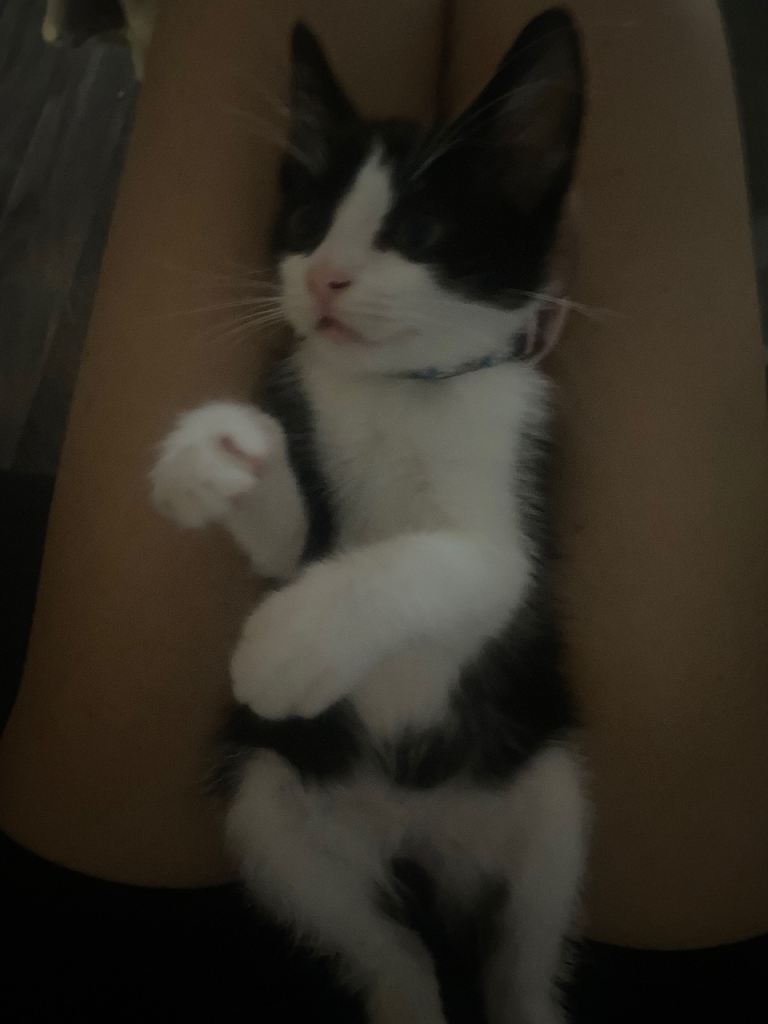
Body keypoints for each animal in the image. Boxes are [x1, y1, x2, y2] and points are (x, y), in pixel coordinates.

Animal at [150, 11, 587, 1024]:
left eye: (416, 232)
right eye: (310, 225)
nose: (325, 280)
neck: (399, 389)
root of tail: (414, 825)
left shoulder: (512, 514)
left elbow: (448, 561)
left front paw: (291, 646)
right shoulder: (308, 517)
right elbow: (293, 548)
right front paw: (222, 454)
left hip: (549, 786)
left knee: (521, 952)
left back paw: (523, 989)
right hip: (272, 802)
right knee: (390, 948)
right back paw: (402, 988)